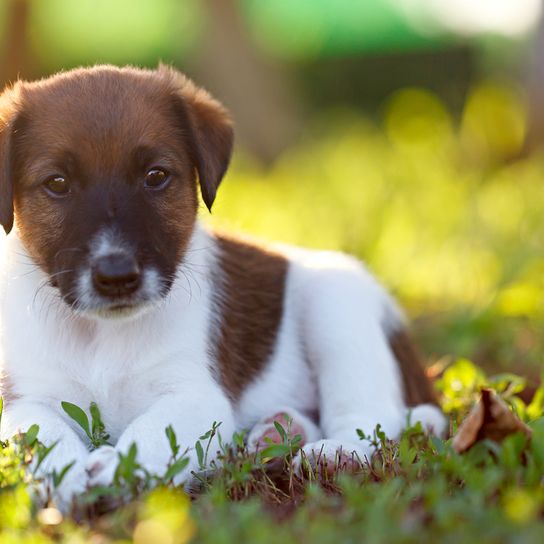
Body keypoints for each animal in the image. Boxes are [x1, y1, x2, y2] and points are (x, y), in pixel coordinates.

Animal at [0, 66, 446, 508]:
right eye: (57, 183)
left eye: (155, 176)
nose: (117, 275)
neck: (102, 334)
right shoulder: (26, 401)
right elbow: (44, 436)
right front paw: (67, 475)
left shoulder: (196, 396)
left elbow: (150, 435)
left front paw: (117, 470)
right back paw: (279, 430)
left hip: (336, 308)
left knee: (372, 416)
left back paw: (334, 453)